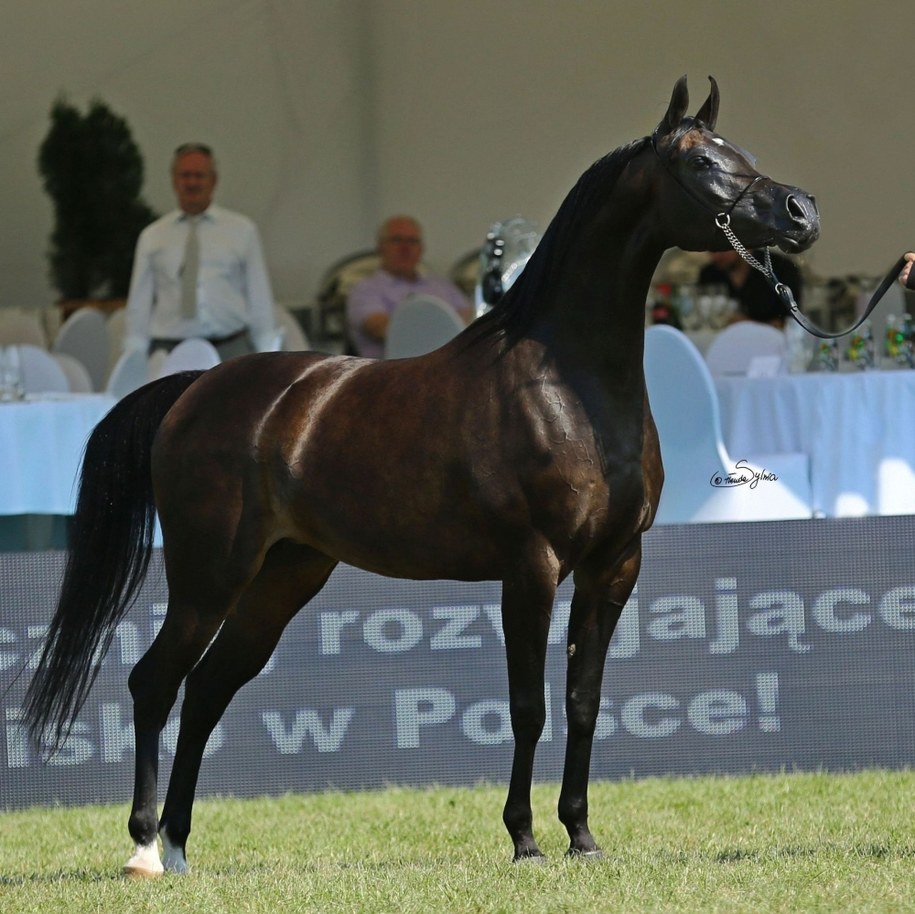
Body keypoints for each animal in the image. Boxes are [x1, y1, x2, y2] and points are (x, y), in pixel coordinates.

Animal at [25, 75, 820, 872]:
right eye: (701, 162)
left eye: (744, 153)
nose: (801, 212)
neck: (566, 385)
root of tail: (194, 388)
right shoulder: (531, 567)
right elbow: (527, 707)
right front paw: (524, 840)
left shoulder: (614, 565)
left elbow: (583, 703)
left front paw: (581, 836)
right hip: (209, 575)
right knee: (155, 682)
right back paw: (144, 849)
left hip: (282, 578)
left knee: (207, 690)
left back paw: (181, 843)